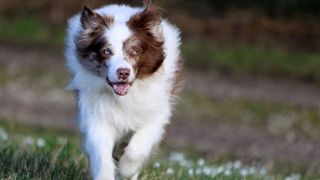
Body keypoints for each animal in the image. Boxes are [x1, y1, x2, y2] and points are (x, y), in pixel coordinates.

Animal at [64, 0, 182, 179]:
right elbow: (101, 155)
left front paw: (126, 169)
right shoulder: (97, 115)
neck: (124, 96)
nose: (123, 73)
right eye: (106, 51)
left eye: (134, 51)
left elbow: (137, 149)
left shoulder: (156, 115)